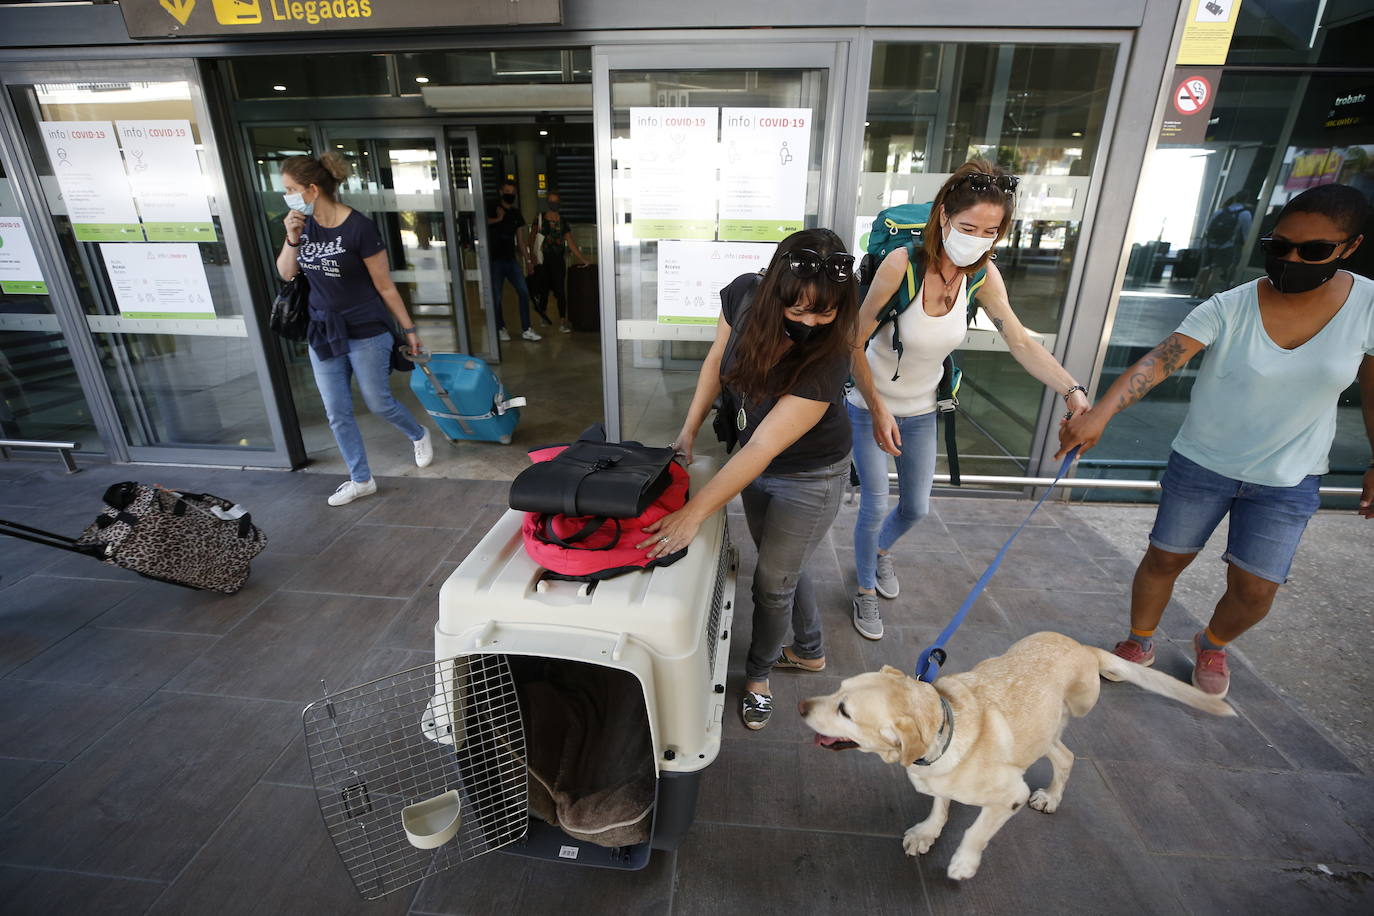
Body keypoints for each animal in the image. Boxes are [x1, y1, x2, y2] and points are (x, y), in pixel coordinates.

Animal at [796, 631, 1236, 878]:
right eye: (837, 689)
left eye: (845, 711)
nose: (800, 706)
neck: (944, 727)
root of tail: (1084, 648)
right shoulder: (940, 778)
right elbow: (940, 805)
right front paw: (926, 833)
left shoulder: (1010, 797)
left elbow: (975, 831)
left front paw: (963, 864)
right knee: (1064, 755)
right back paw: (1052, 794)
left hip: (1075, 708)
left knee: (1065, 754)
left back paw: (1051, 796)